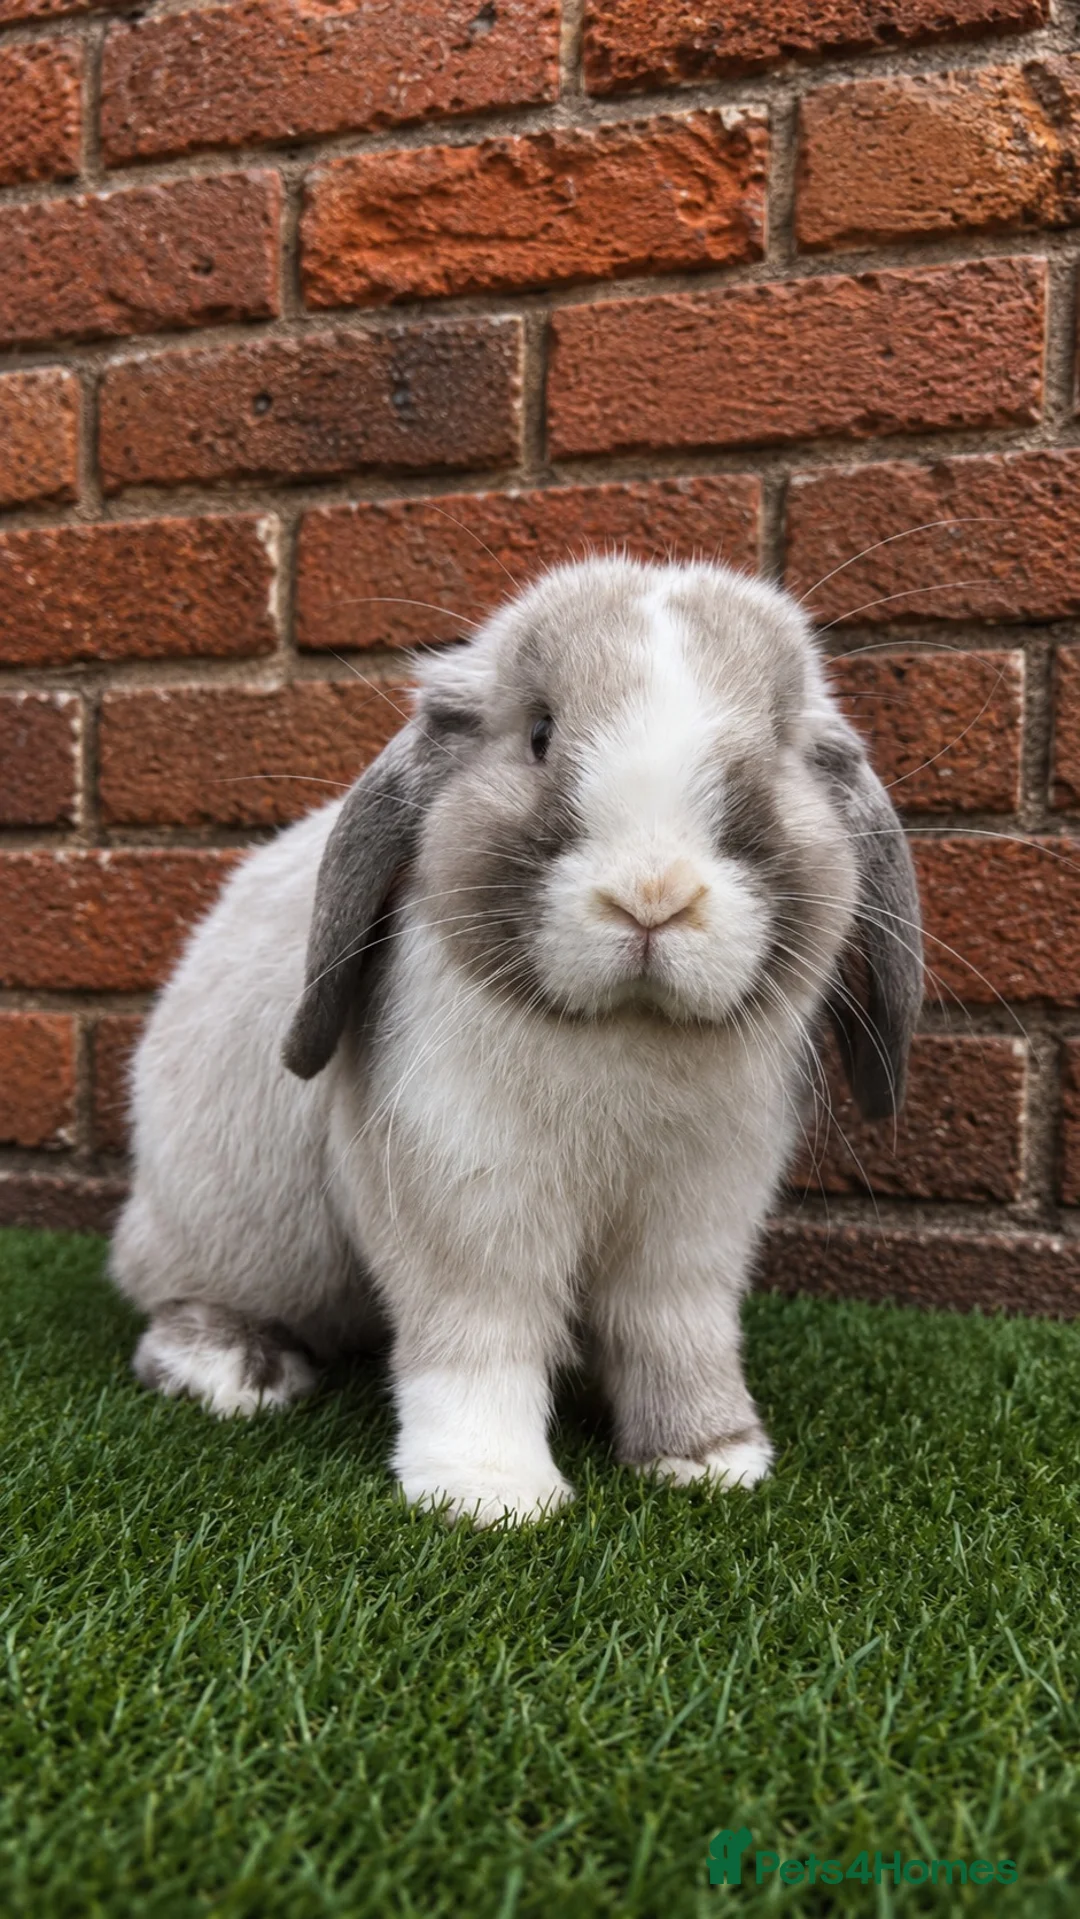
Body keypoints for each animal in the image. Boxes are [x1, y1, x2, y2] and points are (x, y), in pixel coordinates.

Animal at [110, 557, 922, 1525]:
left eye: (771, 744)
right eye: (539, 733)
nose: (653, 896)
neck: (622, 1034)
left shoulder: (696, 1220)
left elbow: (674, 1327)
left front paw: (710, 1457)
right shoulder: (468, 1202)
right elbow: (479, 1337)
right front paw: (488, 1496)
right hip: (233, 1231)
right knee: (164, 1288)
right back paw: (232, 1367)